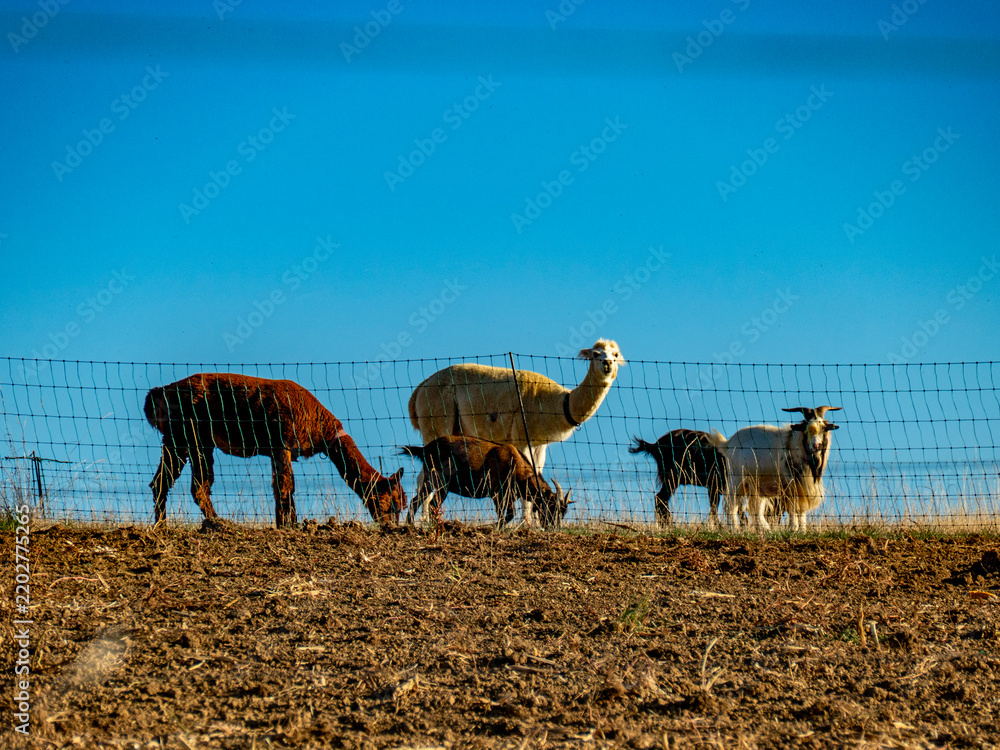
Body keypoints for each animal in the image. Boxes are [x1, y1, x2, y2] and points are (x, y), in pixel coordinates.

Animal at [144, 373, 406, 527]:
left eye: (402, 506)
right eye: (392, 502)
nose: (391, 527)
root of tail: (159, 392)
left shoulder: (277, 450)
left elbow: (281, 487)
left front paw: (289, 523)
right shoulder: (283, 444)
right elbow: (286, 485)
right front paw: (288, 526)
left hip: (181, 439)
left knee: (164, 481)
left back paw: (162, 526)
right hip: (188, 435)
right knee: (195, 484)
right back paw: (219, 524)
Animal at [399, 436, 572, 529]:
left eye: (563, 513)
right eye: (552, 507)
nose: (553, 528)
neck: (515, 463)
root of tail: (425, 449)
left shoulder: (506, 496)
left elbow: (507, 514)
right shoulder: (498, 493)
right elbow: (507, 514)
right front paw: (496, 527)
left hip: (429, 481)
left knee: (417, 501)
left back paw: (410, 524)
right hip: (441, 482)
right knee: (432, 504)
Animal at [408, 339, 624, 475]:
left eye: (615, 354)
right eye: (595, 354)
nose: (607, 363)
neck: (559, 403)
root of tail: (420, 388)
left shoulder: (539, 444)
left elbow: (538, 474)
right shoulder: (521, 436)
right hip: (435, 418)